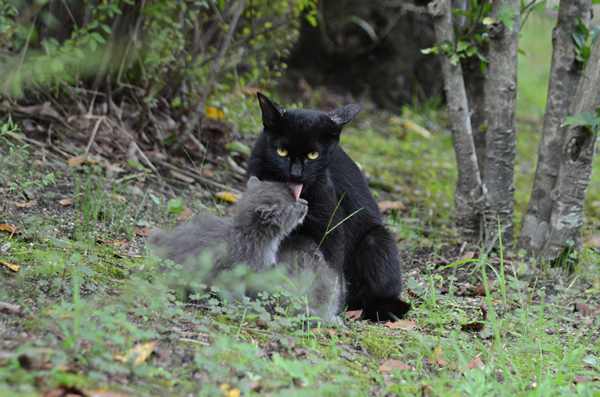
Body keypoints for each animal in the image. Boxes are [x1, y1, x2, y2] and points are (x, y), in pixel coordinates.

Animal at [149, 177, 346, 324]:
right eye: (294, 204)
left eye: (296, 198)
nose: (305, 202)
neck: (249, 234)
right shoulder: (232, 276)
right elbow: (236, 296)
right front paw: (247, 309)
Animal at [250, 92, 412, 318]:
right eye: (281, 151)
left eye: (313, 155)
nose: (296, 174)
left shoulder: (330, 224)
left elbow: (333, 268)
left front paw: (330, 307)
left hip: (378, 240)